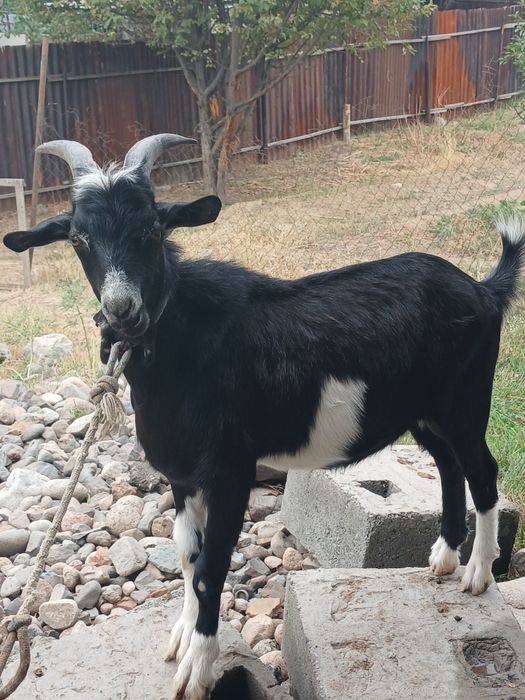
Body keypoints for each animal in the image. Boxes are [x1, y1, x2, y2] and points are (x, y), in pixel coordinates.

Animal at [4, 135, 524, 700]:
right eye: (78, 238)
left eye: (152, 230)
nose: (124, 310)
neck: (185, 346)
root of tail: (483, 290)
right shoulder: (181, 478)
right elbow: (186, 555)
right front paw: (182, 634)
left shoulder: (230, 470)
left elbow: (210, 567)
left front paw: (198, 668)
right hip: (424, 414)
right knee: (450, 467)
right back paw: (445, 558)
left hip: (465, 402)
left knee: (483, 471)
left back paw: (477, 573)